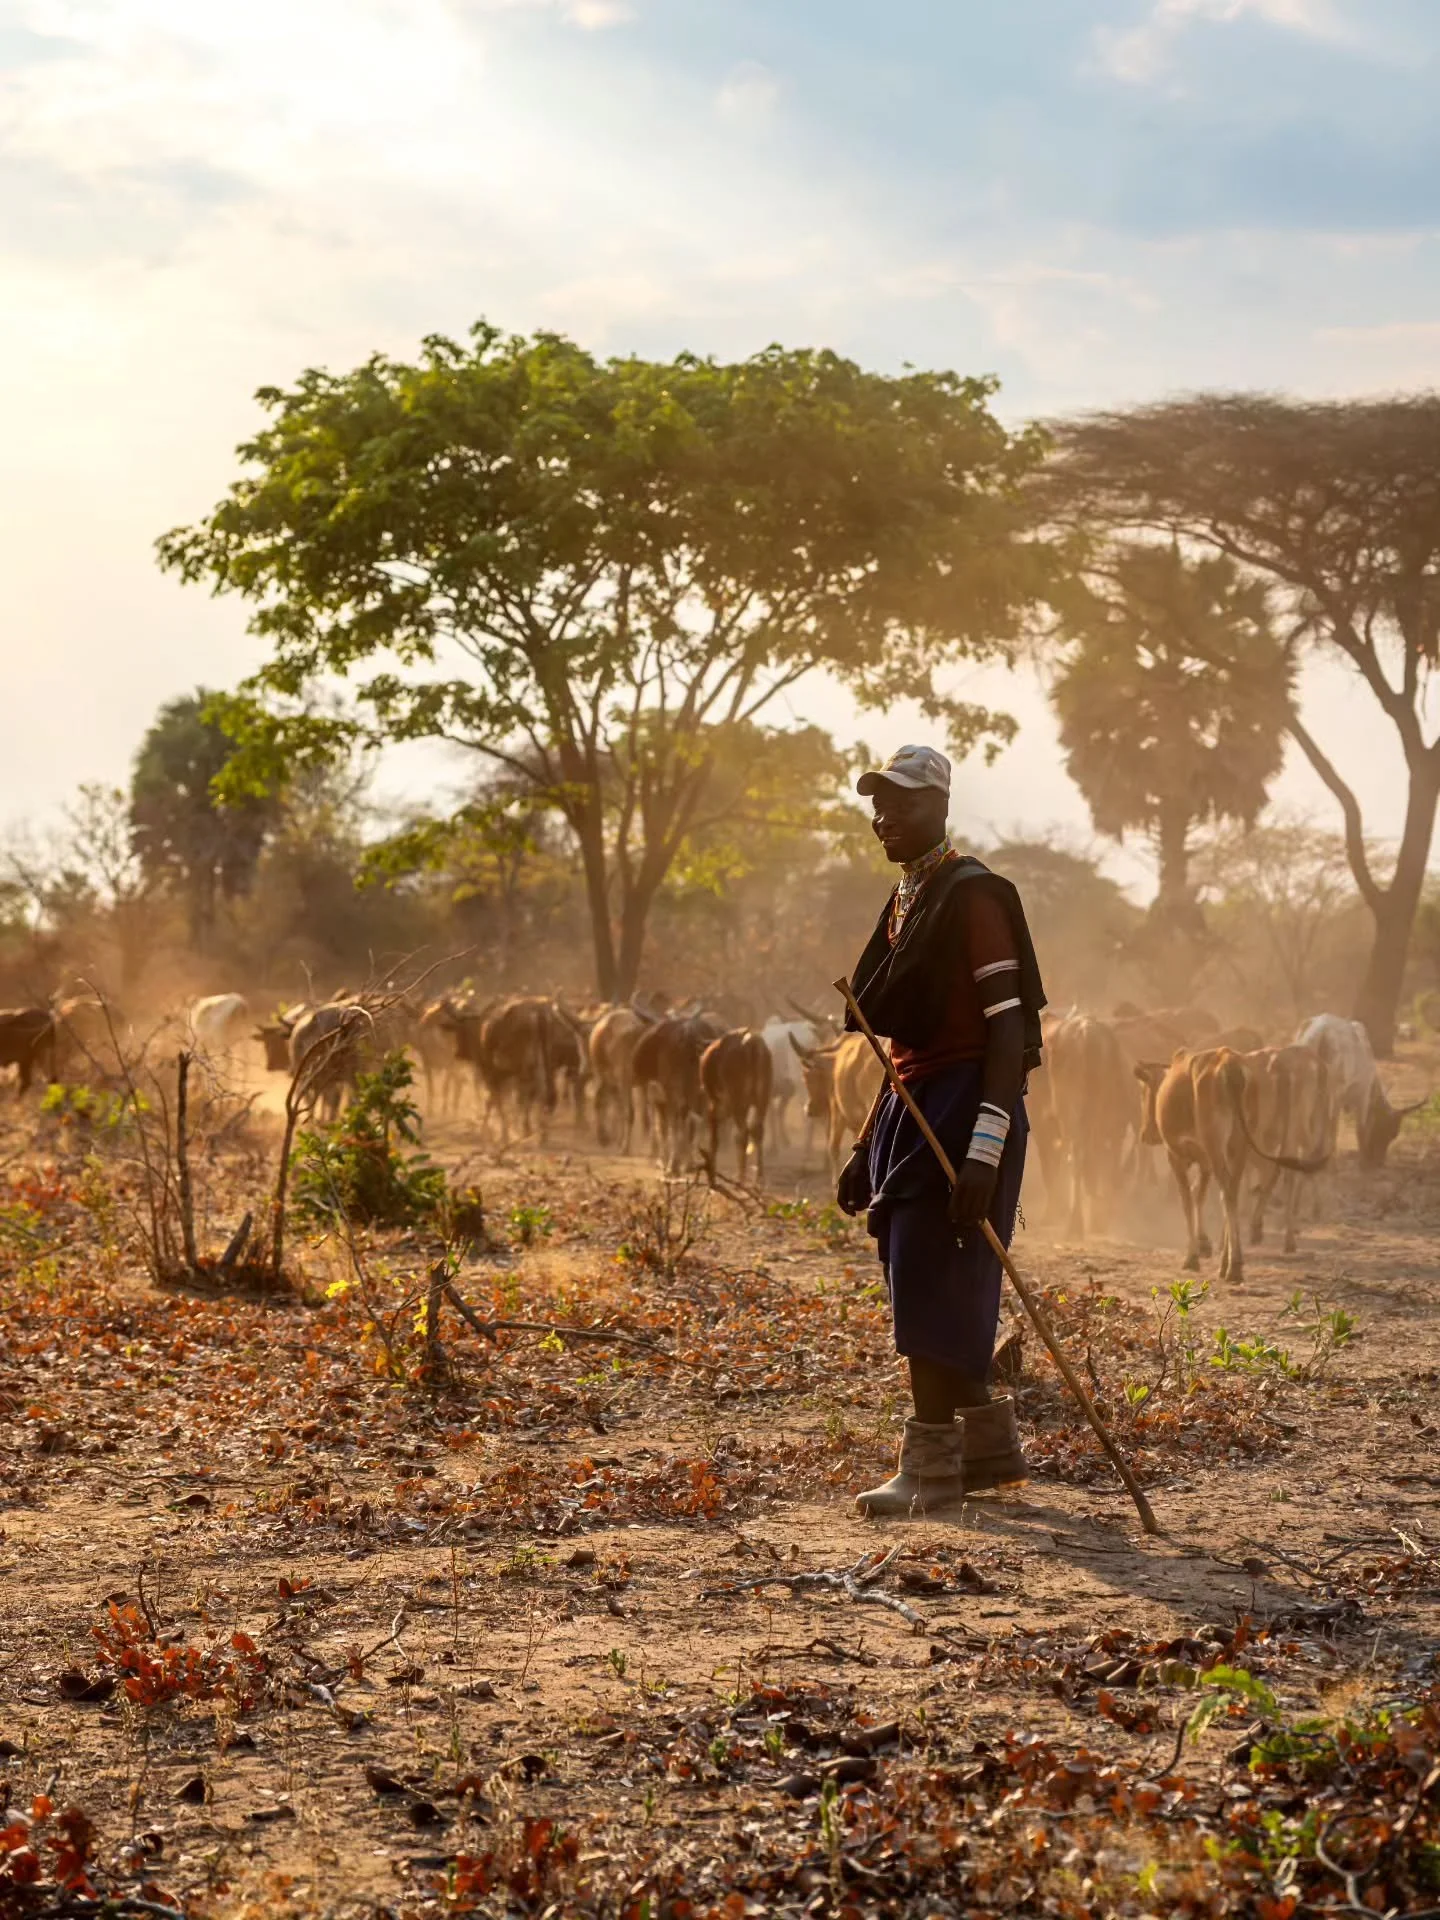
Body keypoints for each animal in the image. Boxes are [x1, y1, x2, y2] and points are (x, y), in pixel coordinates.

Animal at [700, 1029, 773, 1187]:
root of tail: (751, 1043)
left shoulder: (717, 1107)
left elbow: (715, 1139)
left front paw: (712, 1177)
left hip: (738, 1104)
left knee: (743, 1133)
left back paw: (741, 1179)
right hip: (761, 1100)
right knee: (756, 1130)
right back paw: (758, 1180)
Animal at [1295, 1014, 1427, 1170]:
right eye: (1392, 1133)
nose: (1379, 1162)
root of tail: (1322, 1030)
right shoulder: (1362, 1094)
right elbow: (1361, 1127)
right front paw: (1363, 1161)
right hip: (1334, 1090)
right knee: (1331, 1124)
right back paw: (1329, 1160)